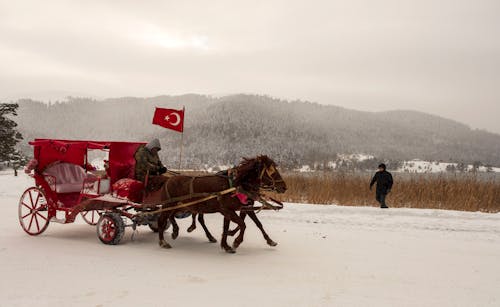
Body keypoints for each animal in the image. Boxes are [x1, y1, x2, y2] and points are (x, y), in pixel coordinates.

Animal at [158, 155, 288, 254]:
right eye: (271, 171)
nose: (284, 187)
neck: (237, 184)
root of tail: (168, 180)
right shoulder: (228, 210)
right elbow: (242, 224)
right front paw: (236, 242)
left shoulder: (239, 209)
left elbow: (253, 224)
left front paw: (226, 245)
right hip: (169, 205)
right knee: (162, 220)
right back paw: (163, 241)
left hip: (181, 206)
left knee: (173, 216)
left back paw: (177, 231)